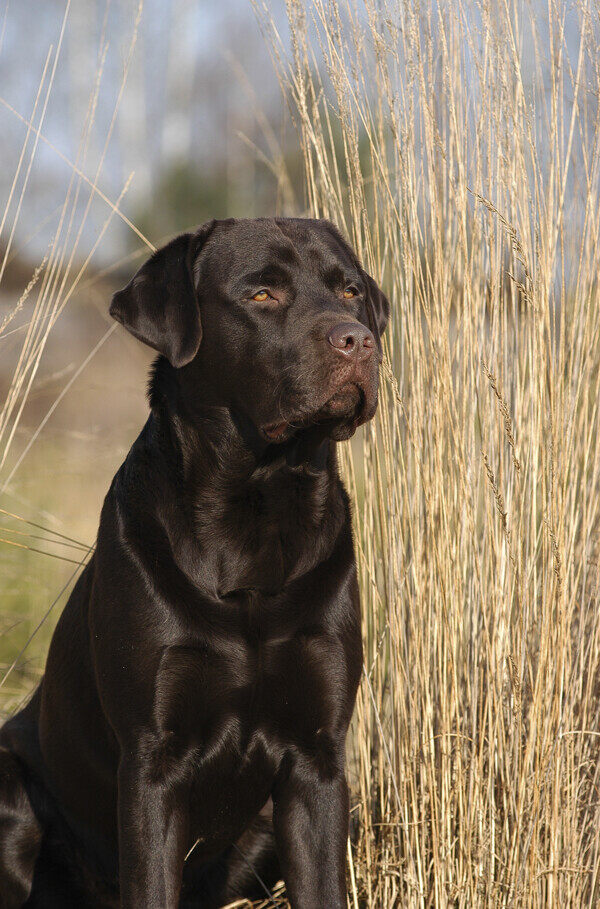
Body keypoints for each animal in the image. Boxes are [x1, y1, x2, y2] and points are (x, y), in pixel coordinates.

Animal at [0, 216, 390, 904]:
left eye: (349, 291)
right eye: (262, 293)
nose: (359, 341)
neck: (255, 515)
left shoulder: (317, 758)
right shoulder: (152, 759)